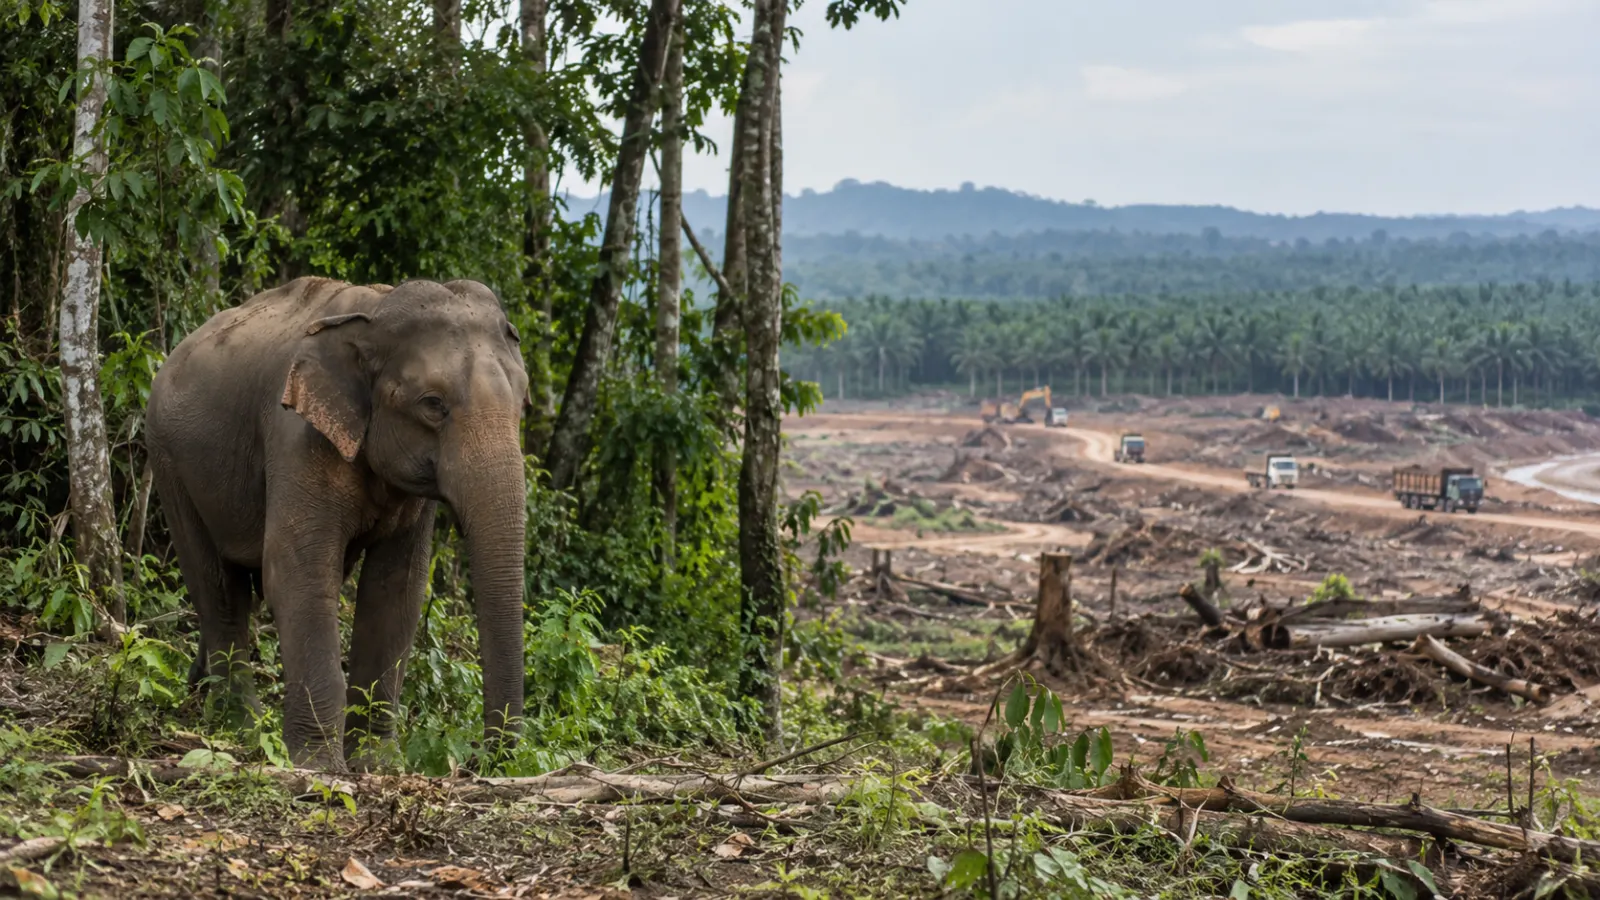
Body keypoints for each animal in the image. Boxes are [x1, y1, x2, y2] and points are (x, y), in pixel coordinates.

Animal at [146, 276, 530, 770]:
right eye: (432, 404)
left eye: (522, 404)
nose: (480, 761)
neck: (375, 313)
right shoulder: (295, 434)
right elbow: (298, 575)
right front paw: (320, 766)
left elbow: (395, 592)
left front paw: (378, 764)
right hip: (168, 461)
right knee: (217, 587)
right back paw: (241, 727)